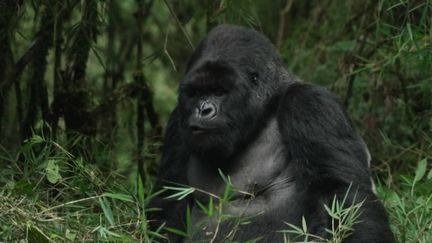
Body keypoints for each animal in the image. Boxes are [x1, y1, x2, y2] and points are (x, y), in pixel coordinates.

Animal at [148, 25, 394, 243]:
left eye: (219, 91)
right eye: (195, 93)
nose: (203, 110)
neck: (265, 110)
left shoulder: (311, 103)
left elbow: (344, 193)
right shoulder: (177, 122)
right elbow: (166, 201)